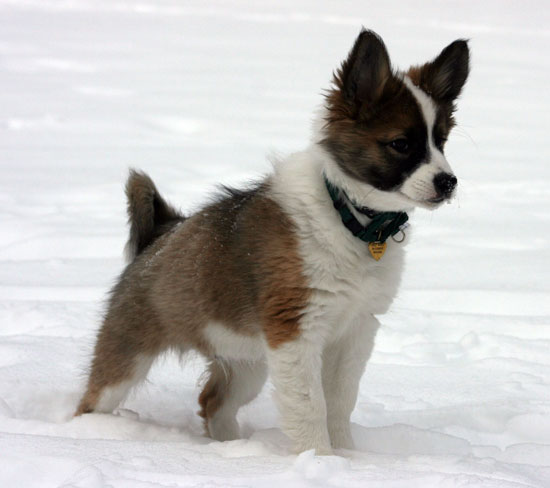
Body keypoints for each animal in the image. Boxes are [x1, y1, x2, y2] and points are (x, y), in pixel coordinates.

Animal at [76, 28, 470, 454]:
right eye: (401, 143)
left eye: (441, 141)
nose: (448, 182)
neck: (349, 217)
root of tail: (160, 234)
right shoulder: (295, 331)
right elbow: (310, 406)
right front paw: (320, 458)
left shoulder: (355, 330)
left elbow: (340, 401)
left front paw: (348, 455)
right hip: (127, 353)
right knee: (92, 401)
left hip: (246, 359)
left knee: (213, 402)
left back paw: (231, 449)